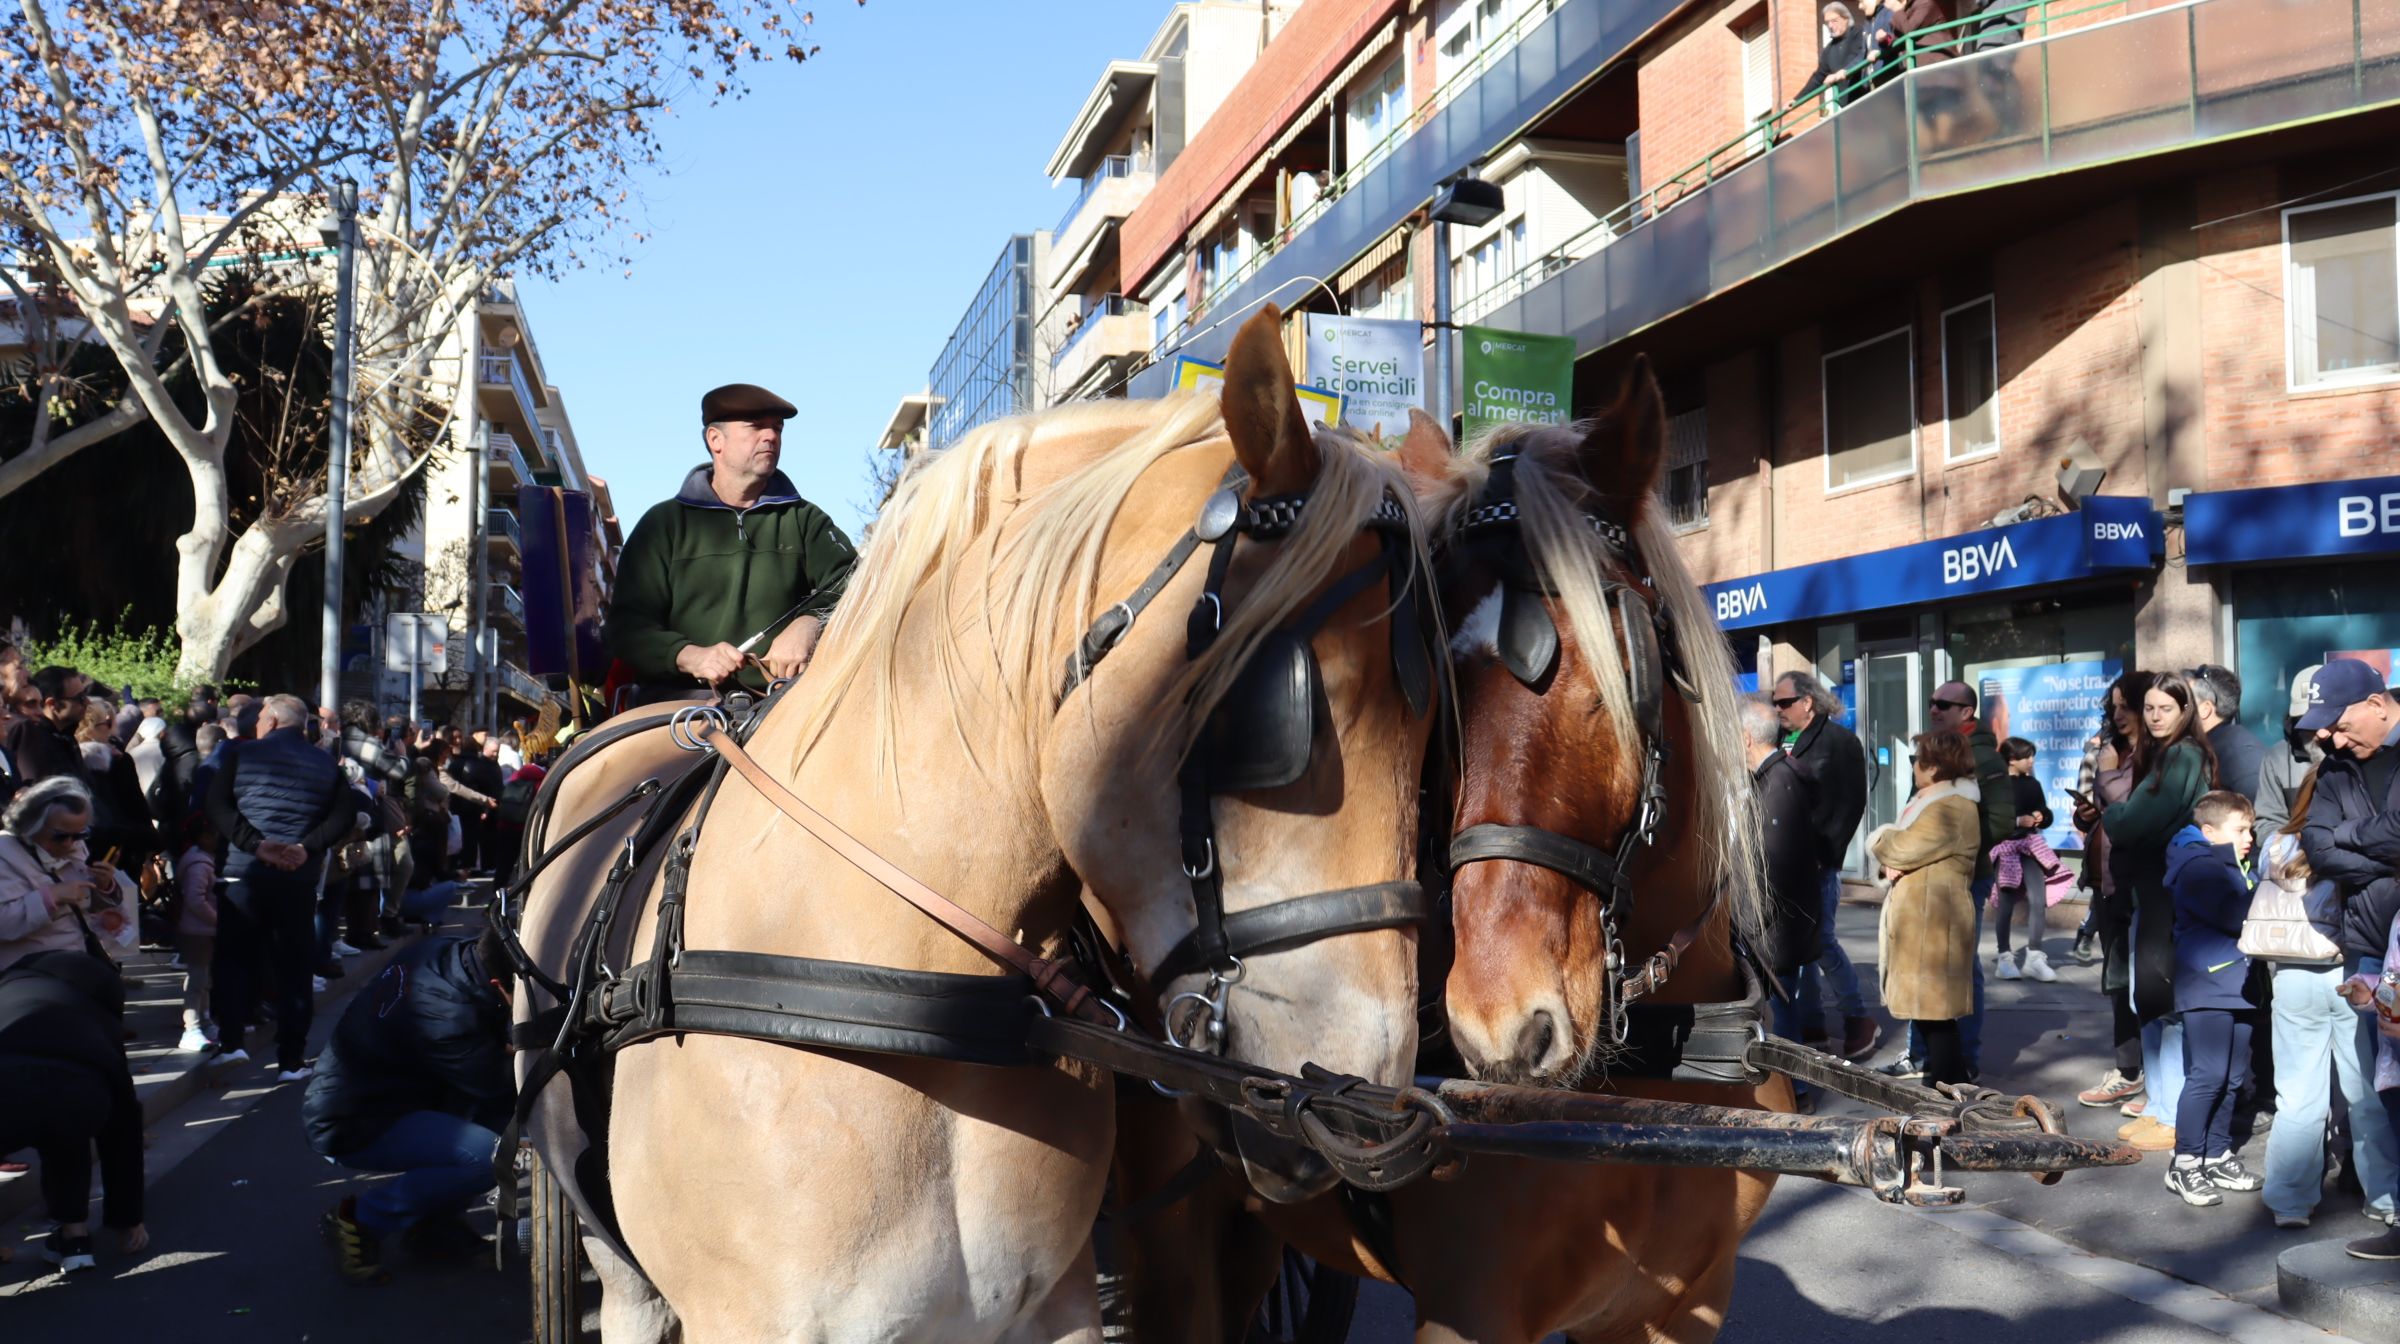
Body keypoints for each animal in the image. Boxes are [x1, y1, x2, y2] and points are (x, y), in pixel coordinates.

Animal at [1104, 357, 1785, 1344]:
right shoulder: (1474, 1312)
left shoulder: (1680, 1308)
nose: (1501, 1028)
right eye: (1443, 719)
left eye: (1611, 681)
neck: (1653, 1088)